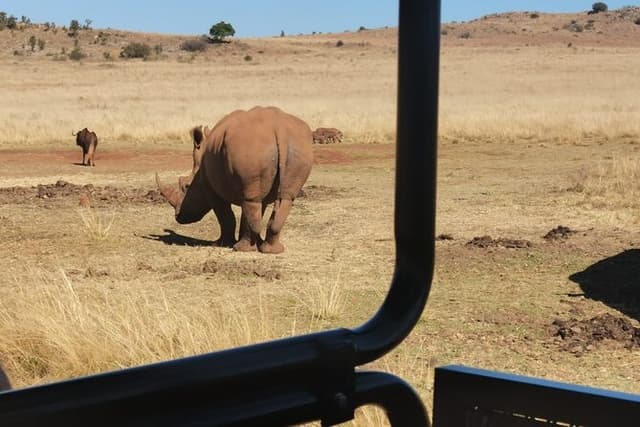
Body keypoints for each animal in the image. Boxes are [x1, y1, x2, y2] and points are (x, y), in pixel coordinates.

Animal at [156, 106, 314, 254]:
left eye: (186, 186)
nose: (178, 217)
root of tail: (280, 130)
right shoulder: (248, 185)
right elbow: (250, 213)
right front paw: (252, 243)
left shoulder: (211, 187)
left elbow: (226, 216)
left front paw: (221, 244)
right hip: (296, 147)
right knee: (280, 199)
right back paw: (271, 250)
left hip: (249, 146)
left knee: (252, 203)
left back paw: (242, 248)